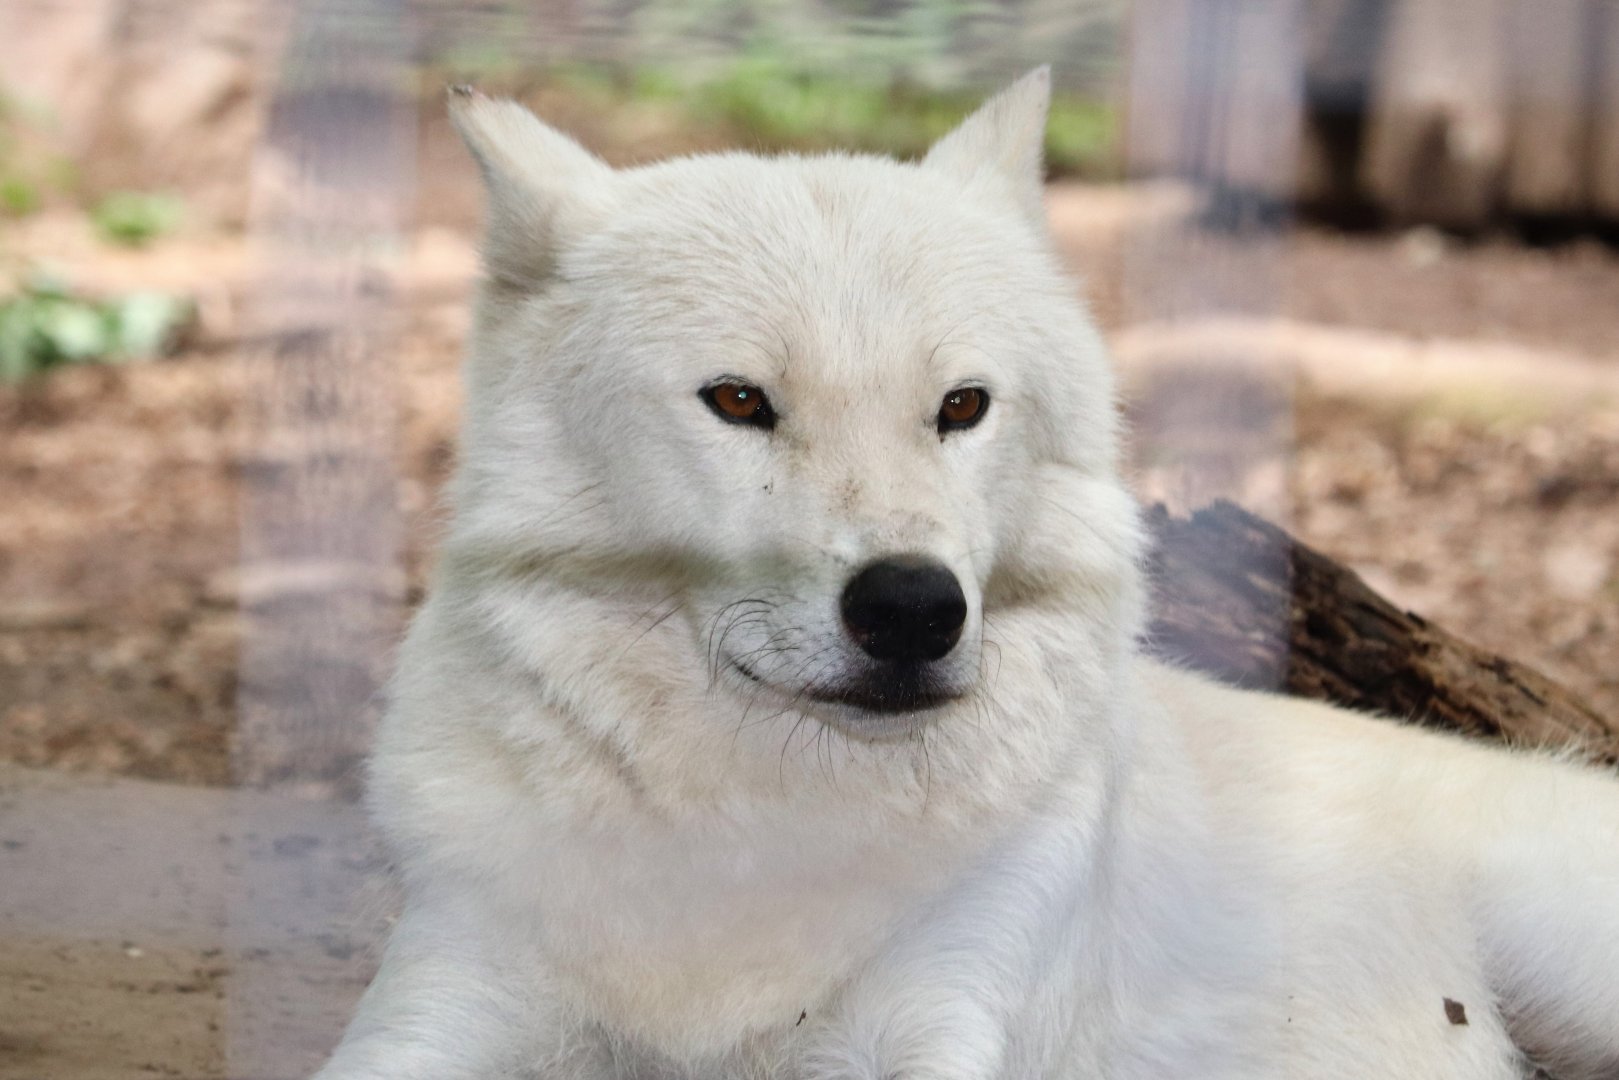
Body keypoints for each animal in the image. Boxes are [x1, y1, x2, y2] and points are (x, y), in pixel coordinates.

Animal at [313, 70, 1619, 1079]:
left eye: (959, 407)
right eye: (737, 401)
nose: (912, 610)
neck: (759, 835)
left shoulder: (938, 1017)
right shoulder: (437, 1000)